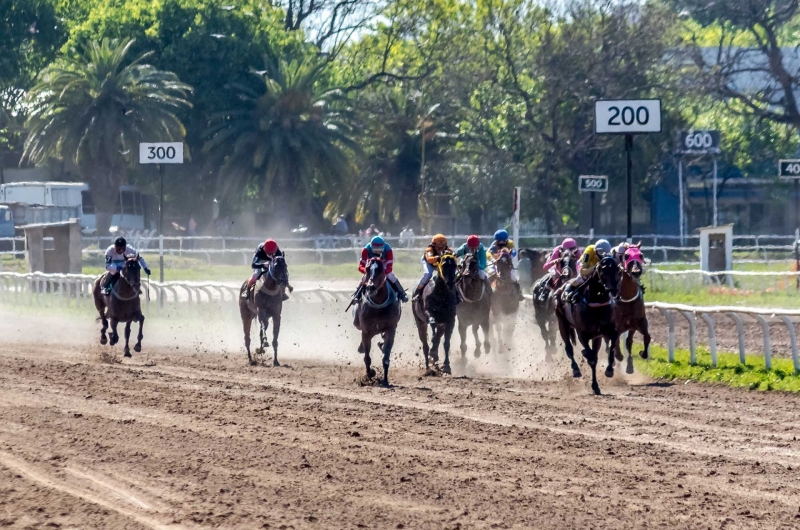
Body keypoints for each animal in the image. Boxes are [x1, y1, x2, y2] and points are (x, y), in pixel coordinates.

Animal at [354, 256, 400, 384]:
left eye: (380, 270)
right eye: (367, 269)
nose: (370, 287)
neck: (379, 304)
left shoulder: (391, 329)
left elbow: (386, 358)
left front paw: (385, 380)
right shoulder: (366, 331)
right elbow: (367, 358)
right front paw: (369, 374)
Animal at [560, 256, 620, 392]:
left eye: (617, 270)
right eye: (602, 270)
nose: (613, 290)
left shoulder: (607, 331)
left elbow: (611, 348)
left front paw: (609, 370)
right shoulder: (582, 335)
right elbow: (591, 359)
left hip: (596, 338)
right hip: (562, 323)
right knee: (569, 348)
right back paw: (576, 369)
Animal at [612, 246, 648, 374]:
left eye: (641, 255)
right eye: (626, 256)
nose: (636, 272)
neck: (627, 298)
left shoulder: (639, 322)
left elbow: (646, 337)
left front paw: (642, 354)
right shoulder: (616, 325)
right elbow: (615, 341)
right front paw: (618, 356)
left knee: (628, 342)